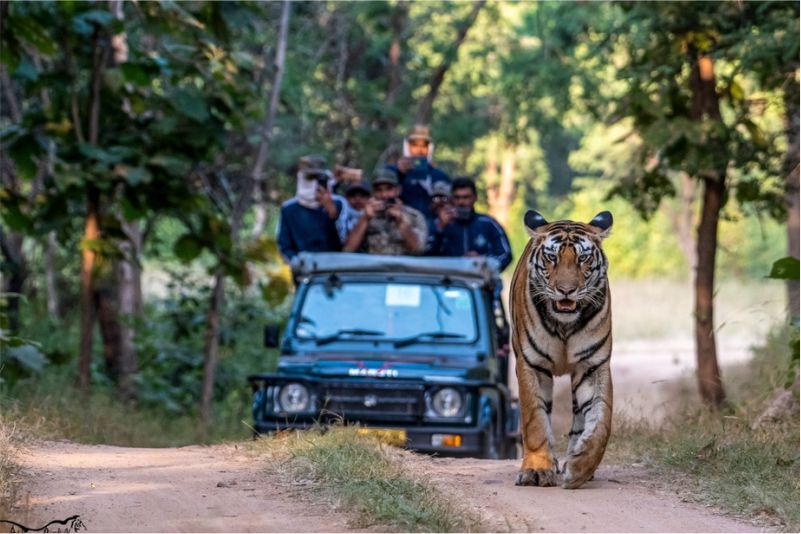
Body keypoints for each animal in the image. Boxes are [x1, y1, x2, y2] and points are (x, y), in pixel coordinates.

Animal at [509, 210, 613, 489]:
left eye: (583, 258)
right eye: (552, 257)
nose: (566, 291)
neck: (564, 324)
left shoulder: (592, 366)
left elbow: (601, 421)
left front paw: (580, 468)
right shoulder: (531, 364)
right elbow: (535, 420)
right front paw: (536, 470)